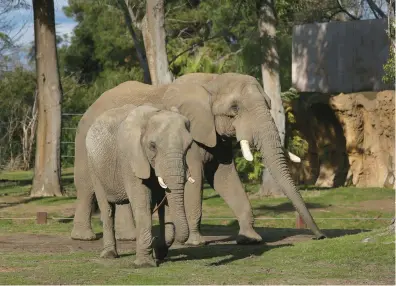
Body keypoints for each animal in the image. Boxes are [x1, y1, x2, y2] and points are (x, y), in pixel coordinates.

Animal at [70, 72, 324, 246]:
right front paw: (195, 242)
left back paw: (129, 238)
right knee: (86, 187)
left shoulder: (217, 136)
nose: (319, 236)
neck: (213, 81)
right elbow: (194, 178)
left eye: (269, 104)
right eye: (235, 108)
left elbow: (225, 178)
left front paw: (250, 239)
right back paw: (85, 238)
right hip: (84, 141)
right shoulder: (187, 134)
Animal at [86, 104, 194, 268]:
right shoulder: (131, 158)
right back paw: (109, 255)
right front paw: (145, 264)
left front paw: (159, 252)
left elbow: (164, 205)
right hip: (94, 166)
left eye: (189, 146)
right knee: (107, 208)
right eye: (152, 146)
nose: (157, 242)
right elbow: (142, 203)